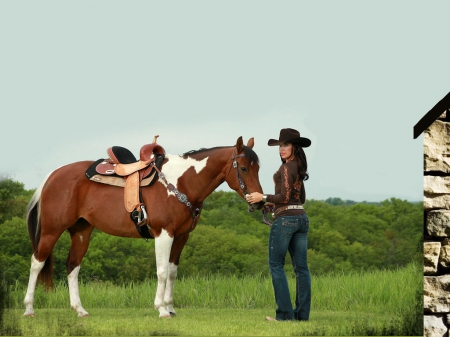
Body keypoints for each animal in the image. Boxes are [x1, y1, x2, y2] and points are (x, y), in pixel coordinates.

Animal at [22, 135, 264, 316]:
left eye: (258, 168)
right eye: (243, 168)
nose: (259, 202)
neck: (181, 183)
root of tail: (53, 175)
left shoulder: (181, 236)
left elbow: (173, 272)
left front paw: (170, 307)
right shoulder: (164, 234)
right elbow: (162, 271)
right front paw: (162, 309)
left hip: (81, 231)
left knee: (73, 265)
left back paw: (80, 310)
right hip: (52, 230)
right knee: (37, 262)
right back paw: (29, 308)